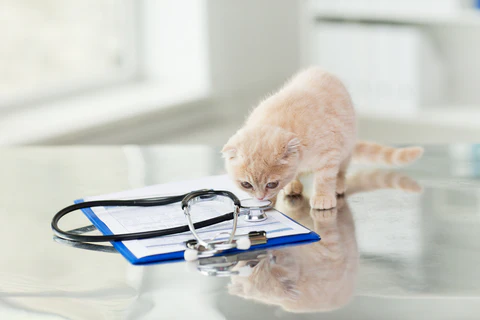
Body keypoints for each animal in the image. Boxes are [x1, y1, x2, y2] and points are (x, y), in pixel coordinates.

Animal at [222, 67, 424, 210]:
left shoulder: (330, 152)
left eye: (272, 183)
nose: (260, 197)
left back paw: (339, 184)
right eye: (246, 184)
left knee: (341, 170)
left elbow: (325, 178)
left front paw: (323, 197)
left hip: (346, 146)